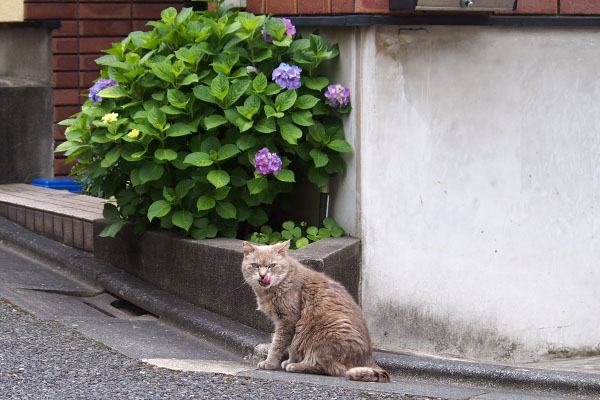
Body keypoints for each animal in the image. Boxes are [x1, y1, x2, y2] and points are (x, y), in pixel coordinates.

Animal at [241, 239, 392, 382]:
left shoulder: (288, 320)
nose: (262, 275)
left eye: (272, 265)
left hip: (326, 333)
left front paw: (270, 362)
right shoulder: (291, 326)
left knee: (330, 368)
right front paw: (289, 360)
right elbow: (292, 346)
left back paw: (298, 366)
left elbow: (277, 345)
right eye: (255, 265)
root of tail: (369, 359)